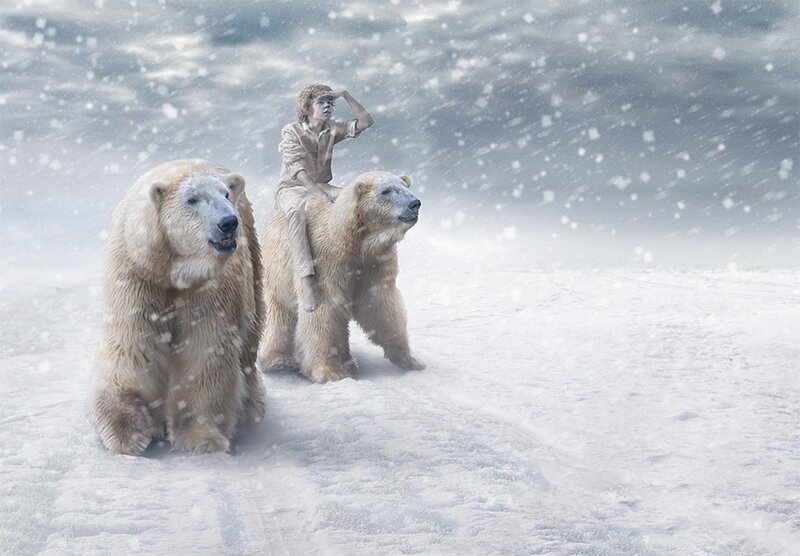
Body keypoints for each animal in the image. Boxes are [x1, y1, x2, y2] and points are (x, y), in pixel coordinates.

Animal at [88, 159, 266, 455]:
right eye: (192, 199)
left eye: (225, 194)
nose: (228, 222)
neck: (171, 270)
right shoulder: (136, 276)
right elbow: (134, 347)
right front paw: (127, 432)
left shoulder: (208, 288)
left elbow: (205, 349)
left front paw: (200, 437)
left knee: (250, 339)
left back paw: (252, 407)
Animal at [257, 170, 425, 383]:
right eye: (386, 191)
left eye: (405, 186)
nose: (415, 203)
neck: (348, 238)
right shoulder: (325, 259)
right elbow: (325, 310)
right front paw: (330, 372)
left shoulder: (374, 262)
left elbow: (381, 304)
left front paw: (410, 360)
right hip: (278, 272)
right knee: (279, 315)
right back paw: (278, 360)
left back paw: (349, 362)